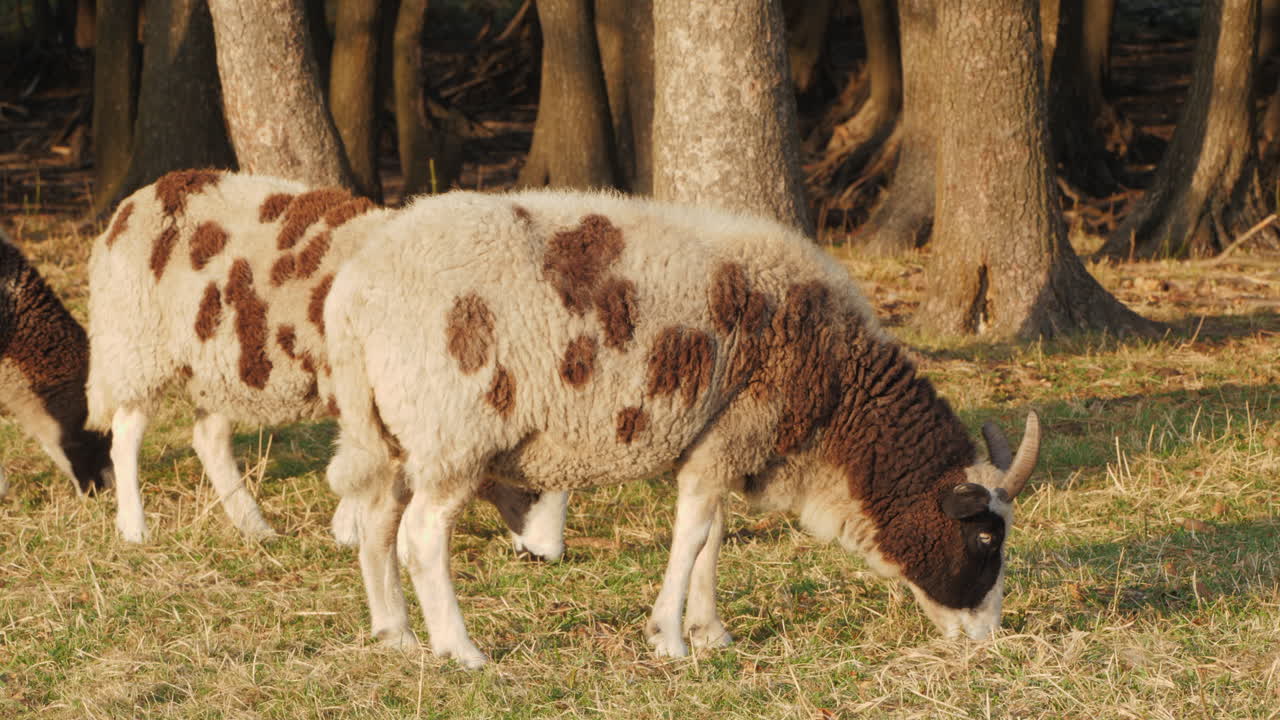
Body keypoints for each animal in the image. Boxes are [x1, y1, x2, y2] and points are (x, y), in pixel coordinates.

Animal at [86, 170, 568, 557]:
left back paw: (253, 526)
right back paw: (134, 527)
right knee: (127, 432)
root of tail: (142, 197)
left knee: (209, 437)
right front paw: (353, 531)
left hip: (220, 359)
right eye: (531, 486)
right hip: (137, 340)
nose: (548, 556)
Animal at [322, 189, 1041, 668]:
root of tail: (354, 294)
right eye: (984, 537)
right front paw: (669, 640)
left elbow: (712, 537)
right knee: (420, 537)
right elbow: (692, 537)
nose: (989, 638)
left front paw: (709, 631)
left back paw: (395, 635)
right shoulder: (735, 432)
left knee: (377, 525)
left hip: (387, 431)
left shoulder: (715, 443)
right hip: (454, 433)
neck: (838, 398)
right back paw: (460, 649)